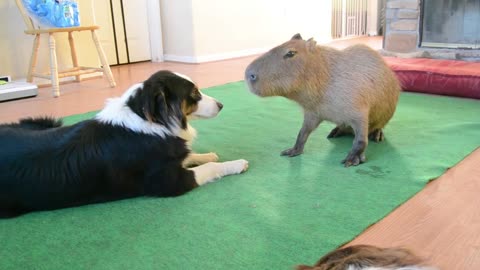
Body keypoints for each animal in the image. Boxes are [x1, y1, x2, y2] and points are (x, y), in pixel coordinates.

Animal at [0, 70, 248, 219]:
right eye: (195, 93)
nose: (221, 104)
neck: (151, 119)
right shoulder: (168, 182)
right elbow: (208, 168)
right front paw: (236, 164)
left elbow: (190, 155)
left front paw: (207, 154)